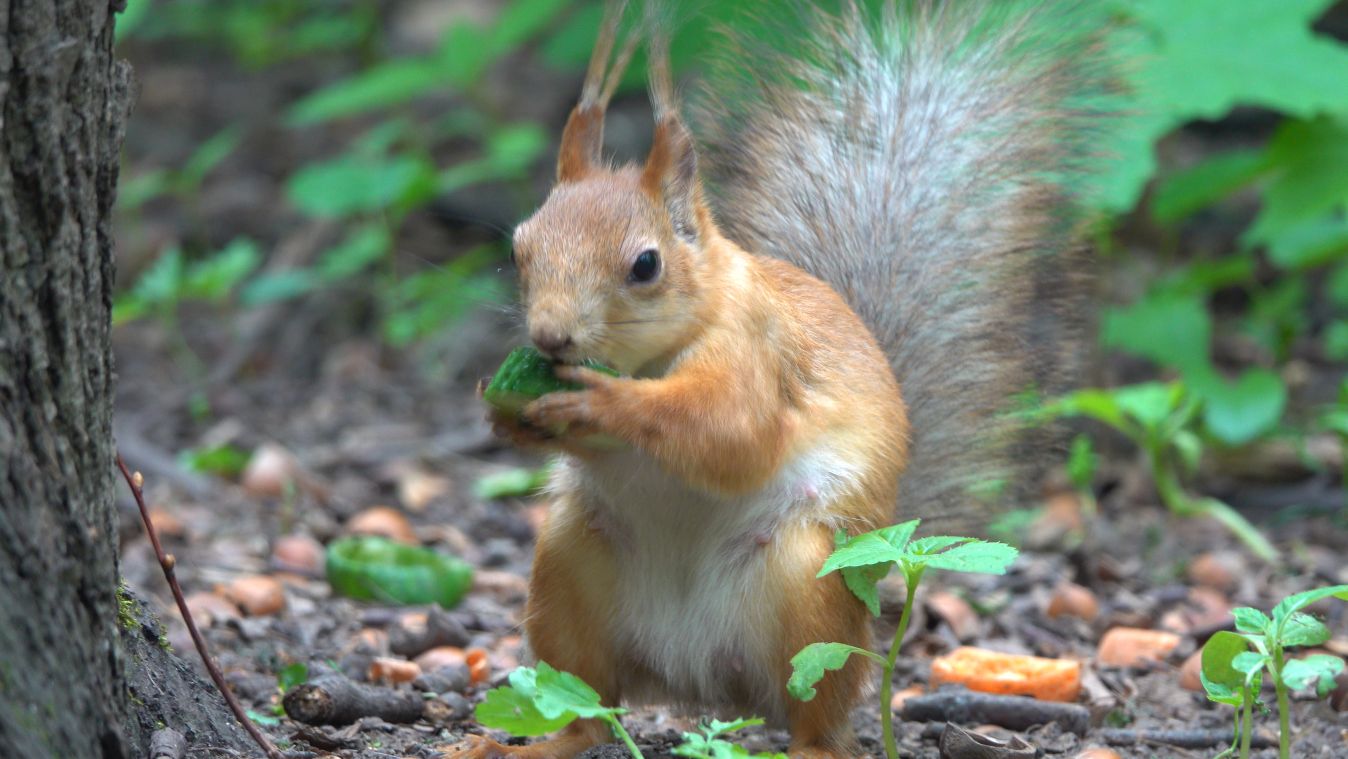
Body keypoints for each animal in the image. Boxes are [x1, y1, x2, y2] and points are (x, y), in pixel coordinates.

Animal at [454, 1, 1102, 757]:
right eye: (520, 246)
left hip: (806, 590)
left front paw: (600, 400)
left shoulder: (757, 353)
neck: (656, 354)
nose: (550, 337)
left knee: (815, 711)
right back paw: (524, 739)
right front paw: (506, 411)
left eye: (646, 265)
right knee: (585, 708)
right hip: (567, 563)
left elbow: (731, 436)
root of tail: (695, 676)